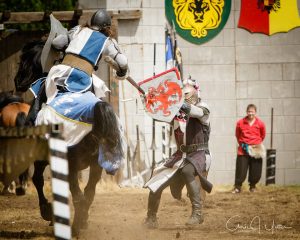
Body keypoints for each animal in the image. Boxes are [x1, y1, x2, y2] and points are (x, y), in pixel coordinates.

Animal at [13, 40, 123, 235]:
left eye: (23, 59)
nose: (17, 81)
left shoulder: (42, 160)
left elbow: (38, 180)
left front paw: (47, 212)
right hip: (95, 166)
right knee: (88, 193)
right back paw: (81, 222)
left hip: (69, 164)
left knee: (78, 195)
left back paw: (76, 226)